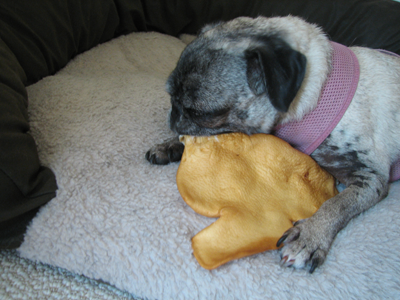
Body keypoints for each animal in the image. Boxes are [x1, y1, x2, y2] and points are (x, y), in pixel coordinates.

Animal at [146, 17, 400, 274]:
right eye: (171, 96)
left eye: (201, 113)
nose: (173, 116)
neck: (318, 91)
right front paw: (169, 145)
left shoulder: (371, 177)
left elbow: (337, 203)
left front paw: (310, 235)